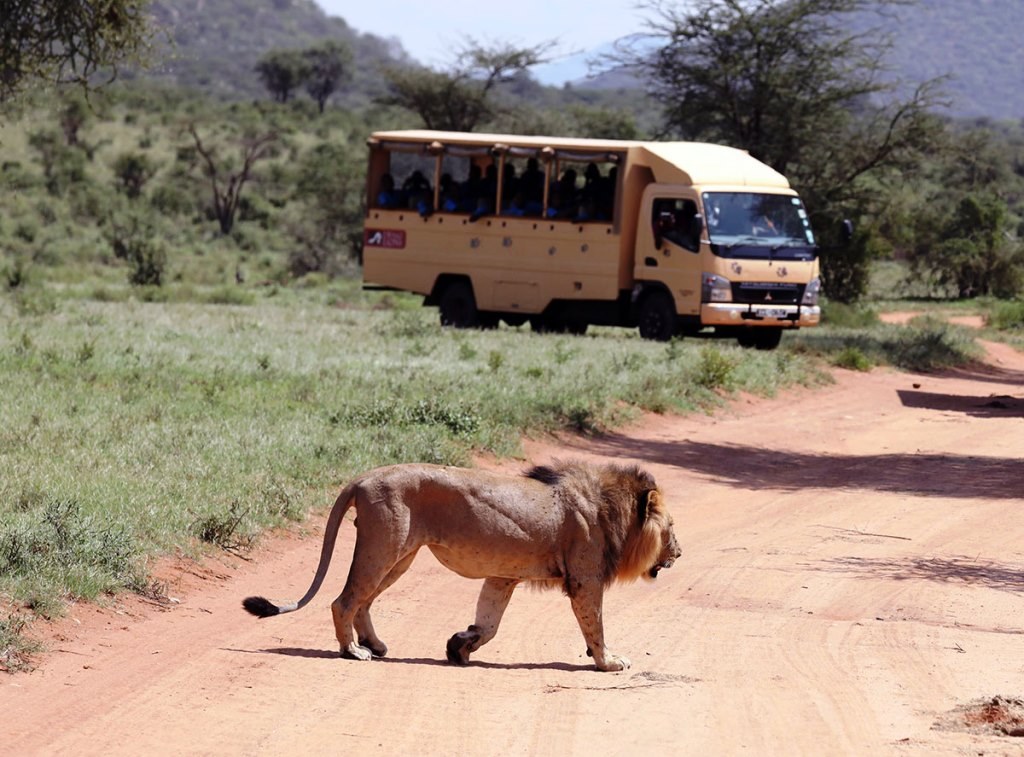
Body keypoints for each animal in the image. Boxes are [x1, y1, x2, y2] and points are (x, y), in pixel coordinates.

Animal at [243, 459, 680, 671]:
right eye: (672, 528)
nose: (680, 553)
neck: (610, 509)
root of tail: (363, 478)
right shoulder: (585, 580)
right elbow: (596, 627)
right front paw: (609, 662)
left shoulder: (503, 576)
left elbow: (489, 622)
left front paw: (460, 646)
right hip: (384, 547)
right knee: (344, 600)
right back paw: (353, 651)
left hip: (399, 556)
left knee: (363, 601)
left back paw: (375, 645)